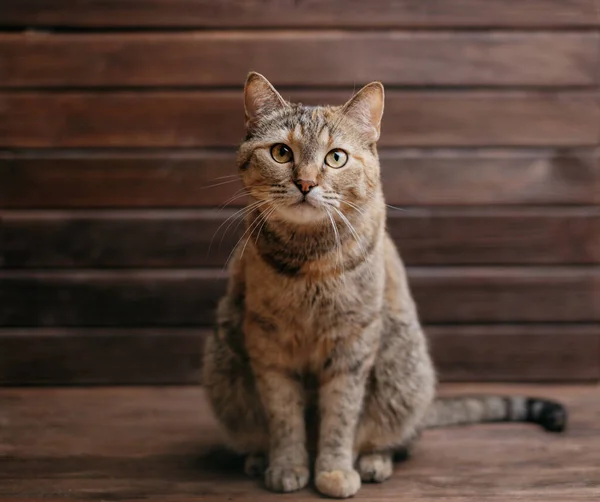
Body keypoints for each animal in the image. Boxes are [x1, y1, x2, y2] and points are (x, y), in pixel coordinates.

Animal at [203, 72, 568, 500]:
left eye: (336, 157)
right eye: (280, 153)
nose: (306, 183)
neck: (310, 260)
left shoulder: (353, 344)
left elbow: (341, 417)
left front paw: (334, 470)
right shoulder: (268, 345)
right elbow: (284, 416)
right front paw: (288, 465)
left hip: (402, 363)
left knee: (395, 438)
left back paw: (375, 461)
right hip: (224, 358)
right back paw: (259, 458)